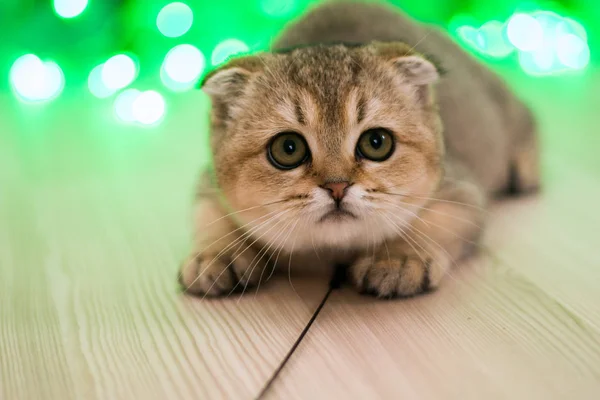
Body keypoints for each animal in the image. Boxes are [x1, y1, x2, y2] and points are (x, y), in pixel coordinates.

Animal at [179, 0, 540, 296]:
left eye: (376, 143)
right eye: (288, 148)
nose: (337, 187)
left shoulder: (462, 190)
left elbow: (437, 219)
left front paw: (399, 257)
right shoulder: (208, 182)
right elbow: (209, 214)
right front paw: (217, 254)